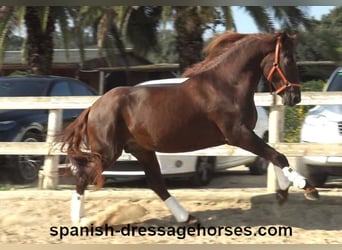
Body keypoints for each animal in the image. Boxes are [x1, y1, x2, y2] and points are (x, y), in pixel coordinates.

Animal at [60, 31, 320, 225]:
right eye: (289, 59)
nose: (295, 97)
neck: (227, 85)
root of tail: (93, 107)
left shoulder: (245, 135)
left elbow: (273, 154)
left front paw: (284, 191)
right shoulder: (237, 134)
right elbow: (277, 155)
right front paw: (307, 187)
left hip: (141, 150)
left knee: (156, 184)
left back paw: (188, 218)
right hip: (107, 152)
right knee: (83, 177)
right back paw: (79, 221)